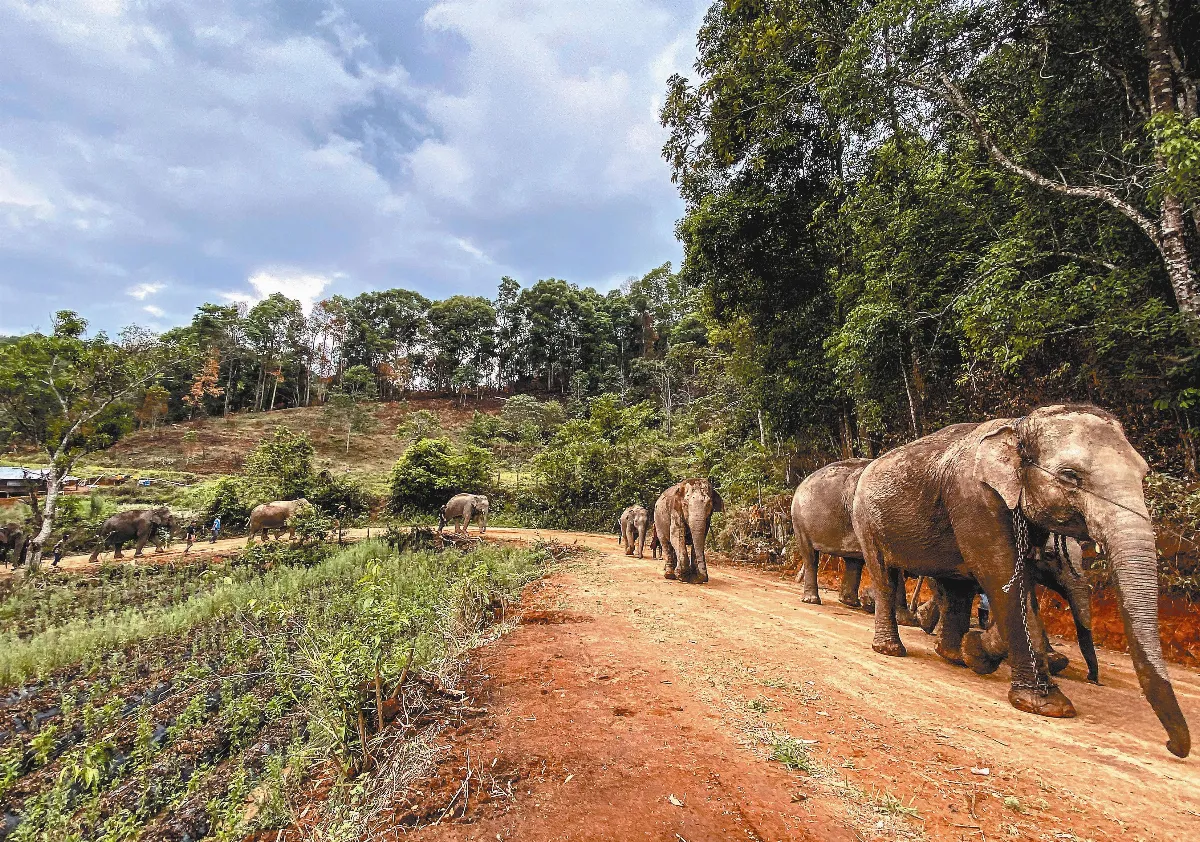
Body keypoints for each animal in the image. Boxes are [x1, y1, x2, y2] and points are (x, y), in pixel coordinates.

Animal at [851, 405, 1189, 757]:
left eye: (1143, 475)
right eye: (1069, 476)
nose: (1171, 746)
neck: (1018, 426)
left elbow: (1018, 582)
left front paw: (977, 652)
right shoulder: (975, 499)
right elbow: (1002, 575)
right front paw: (1046, 705)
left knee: (956, 587)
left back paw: (953, 655)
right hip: (866, 519)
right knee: (885, 575)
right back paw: (891, 649)